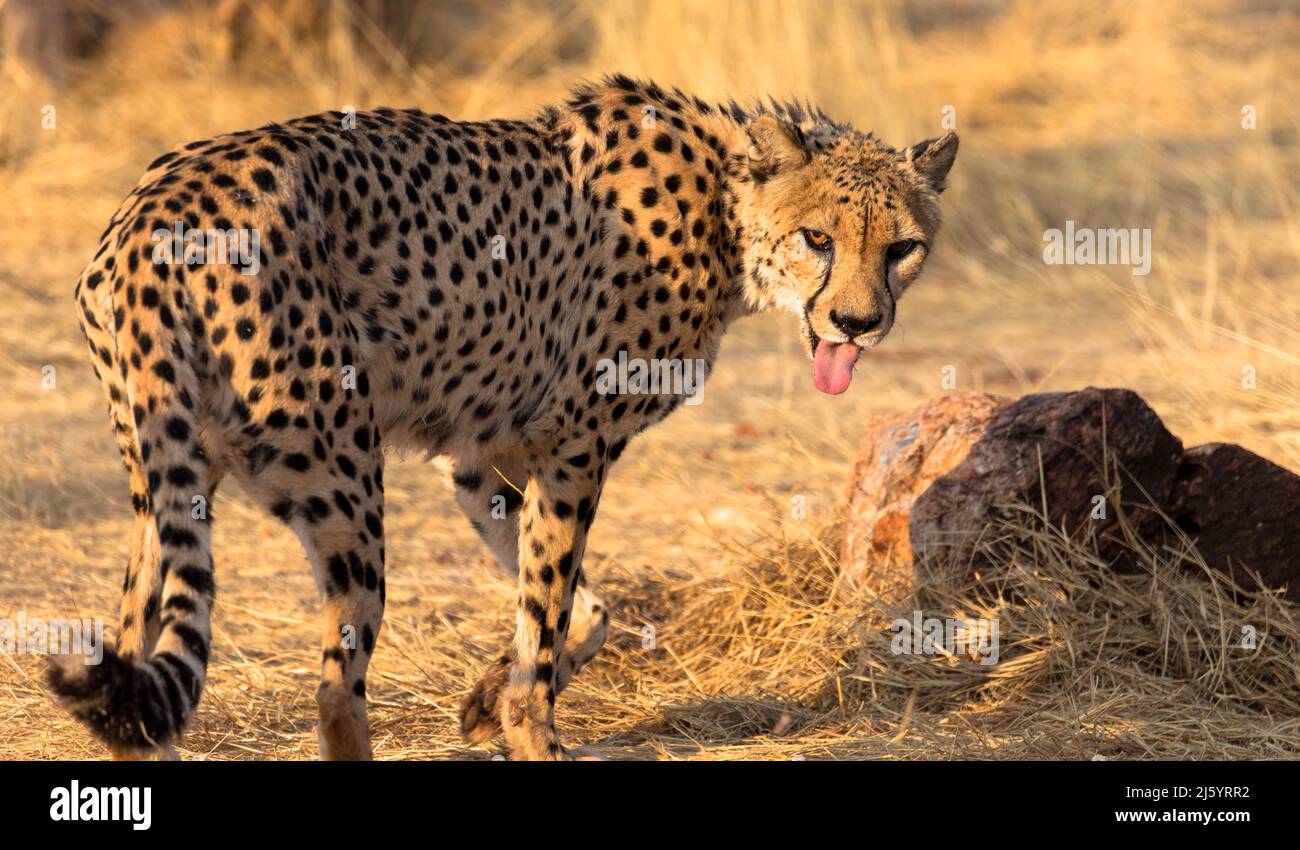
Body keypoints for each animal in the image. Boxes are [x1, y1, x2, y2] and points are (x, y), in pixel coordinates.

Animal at [50, 75, 956, 764]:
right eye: (818, 238)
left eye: (901, 248)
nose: (856, 324)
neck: (727, 210)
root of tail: (153, 211)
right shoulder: (575, 447)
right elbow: (550, 608)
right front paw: (532, 731)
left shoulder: (482, 455)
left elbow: (581, 610)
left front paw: (487, 700)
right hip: (339, 476)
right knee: (334, 690)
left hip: (168, 474)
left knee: (134, 648)